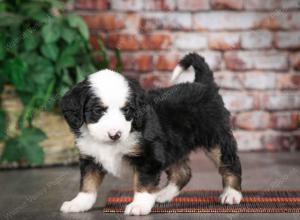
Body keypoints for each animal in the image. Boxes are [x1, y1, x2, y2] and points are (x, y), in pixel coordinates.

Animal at [59, 52, 243, 215]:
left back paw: (232, 194)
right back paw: (162, 195)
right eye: (98, 110)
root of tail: (203, 84)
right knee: (183, 173)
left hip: (216, 138)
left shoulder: (149, 157)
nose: (115, 134)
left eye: (126, 110)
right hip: (173, 146)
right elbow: (87, 184)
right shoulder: (90, 158)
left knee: (230, 163)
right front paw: (78, 203)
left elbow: (143, 183)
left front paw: (139, 206)